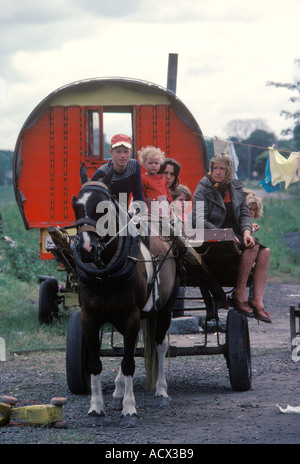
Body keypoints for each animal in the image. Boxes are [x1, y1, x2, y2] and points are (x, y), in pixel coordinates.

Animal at [71, 165, 179, 426]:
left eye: (103, 207)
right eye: (76, 205)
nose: (86, 249)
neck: (105, 274)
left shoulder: (132, 316)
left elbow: (129, 362)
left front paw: (130, 408)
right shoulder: (89, 318)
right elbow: (95, 362)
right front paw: (96, 406)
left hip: (164, 309)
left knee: (160, 345)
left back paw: (161, 391)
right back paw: (119, 392)